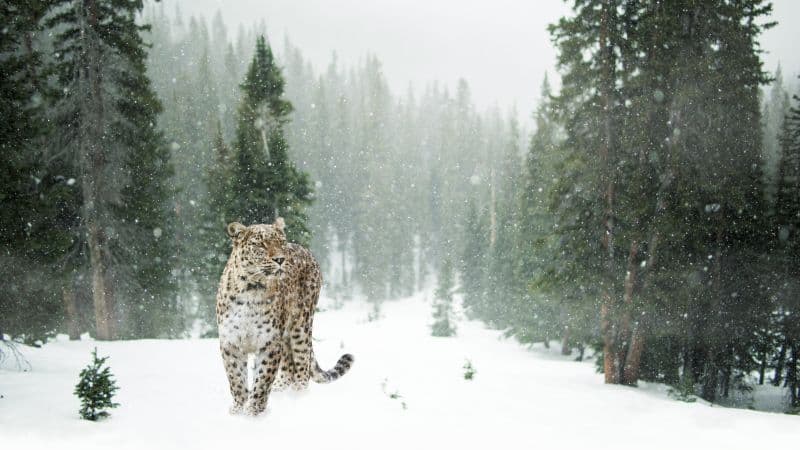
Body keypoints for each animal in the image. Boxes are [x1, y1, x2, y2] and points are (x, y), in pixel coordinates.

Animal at [216, 218, 354, 416]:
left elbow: (262, 380)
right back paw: (281, 390)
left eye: (280, 242)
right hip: (287, 335)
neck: (251, 290)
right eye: (260, 244)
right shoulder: (231, 342)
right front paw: (238, 409)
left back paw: (298, 397)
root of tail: (305, 250)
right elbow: (236, 379)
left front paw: (253, 412)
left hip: (301, 326)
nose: (280, 259)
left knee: (302, 365)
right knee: (289, 366)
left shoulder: (270, 342)